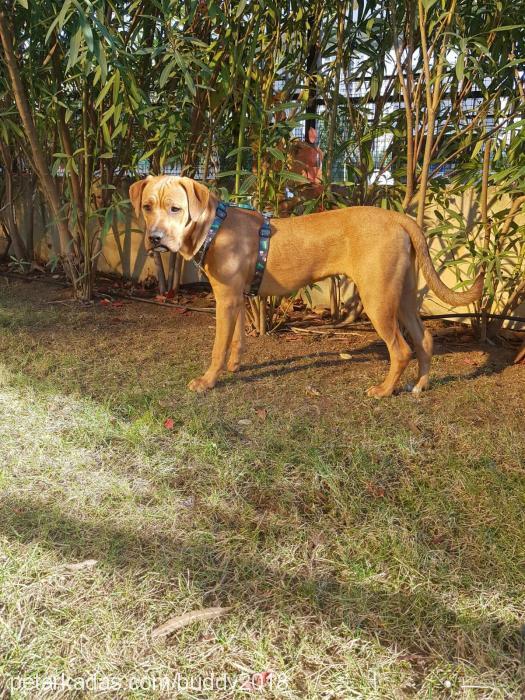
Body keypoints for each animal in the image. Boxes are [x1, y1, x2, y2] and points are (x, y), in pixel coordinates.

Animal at [129, 174, 482, 396]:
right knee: (425, 340)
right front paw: (234, 367)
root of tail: (398, 217)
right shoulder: (238, 297)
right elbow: (237, 340)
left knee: (402, 350)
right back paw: (420, 386)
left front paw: (207, 381)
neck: (214, 225)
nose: (155, 239)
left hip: (377, 299)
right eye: (147, 206)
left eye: (175, 208)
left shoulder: (225, 298)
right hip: (404, 296)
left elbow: (218, 347)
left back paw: (384, 391)